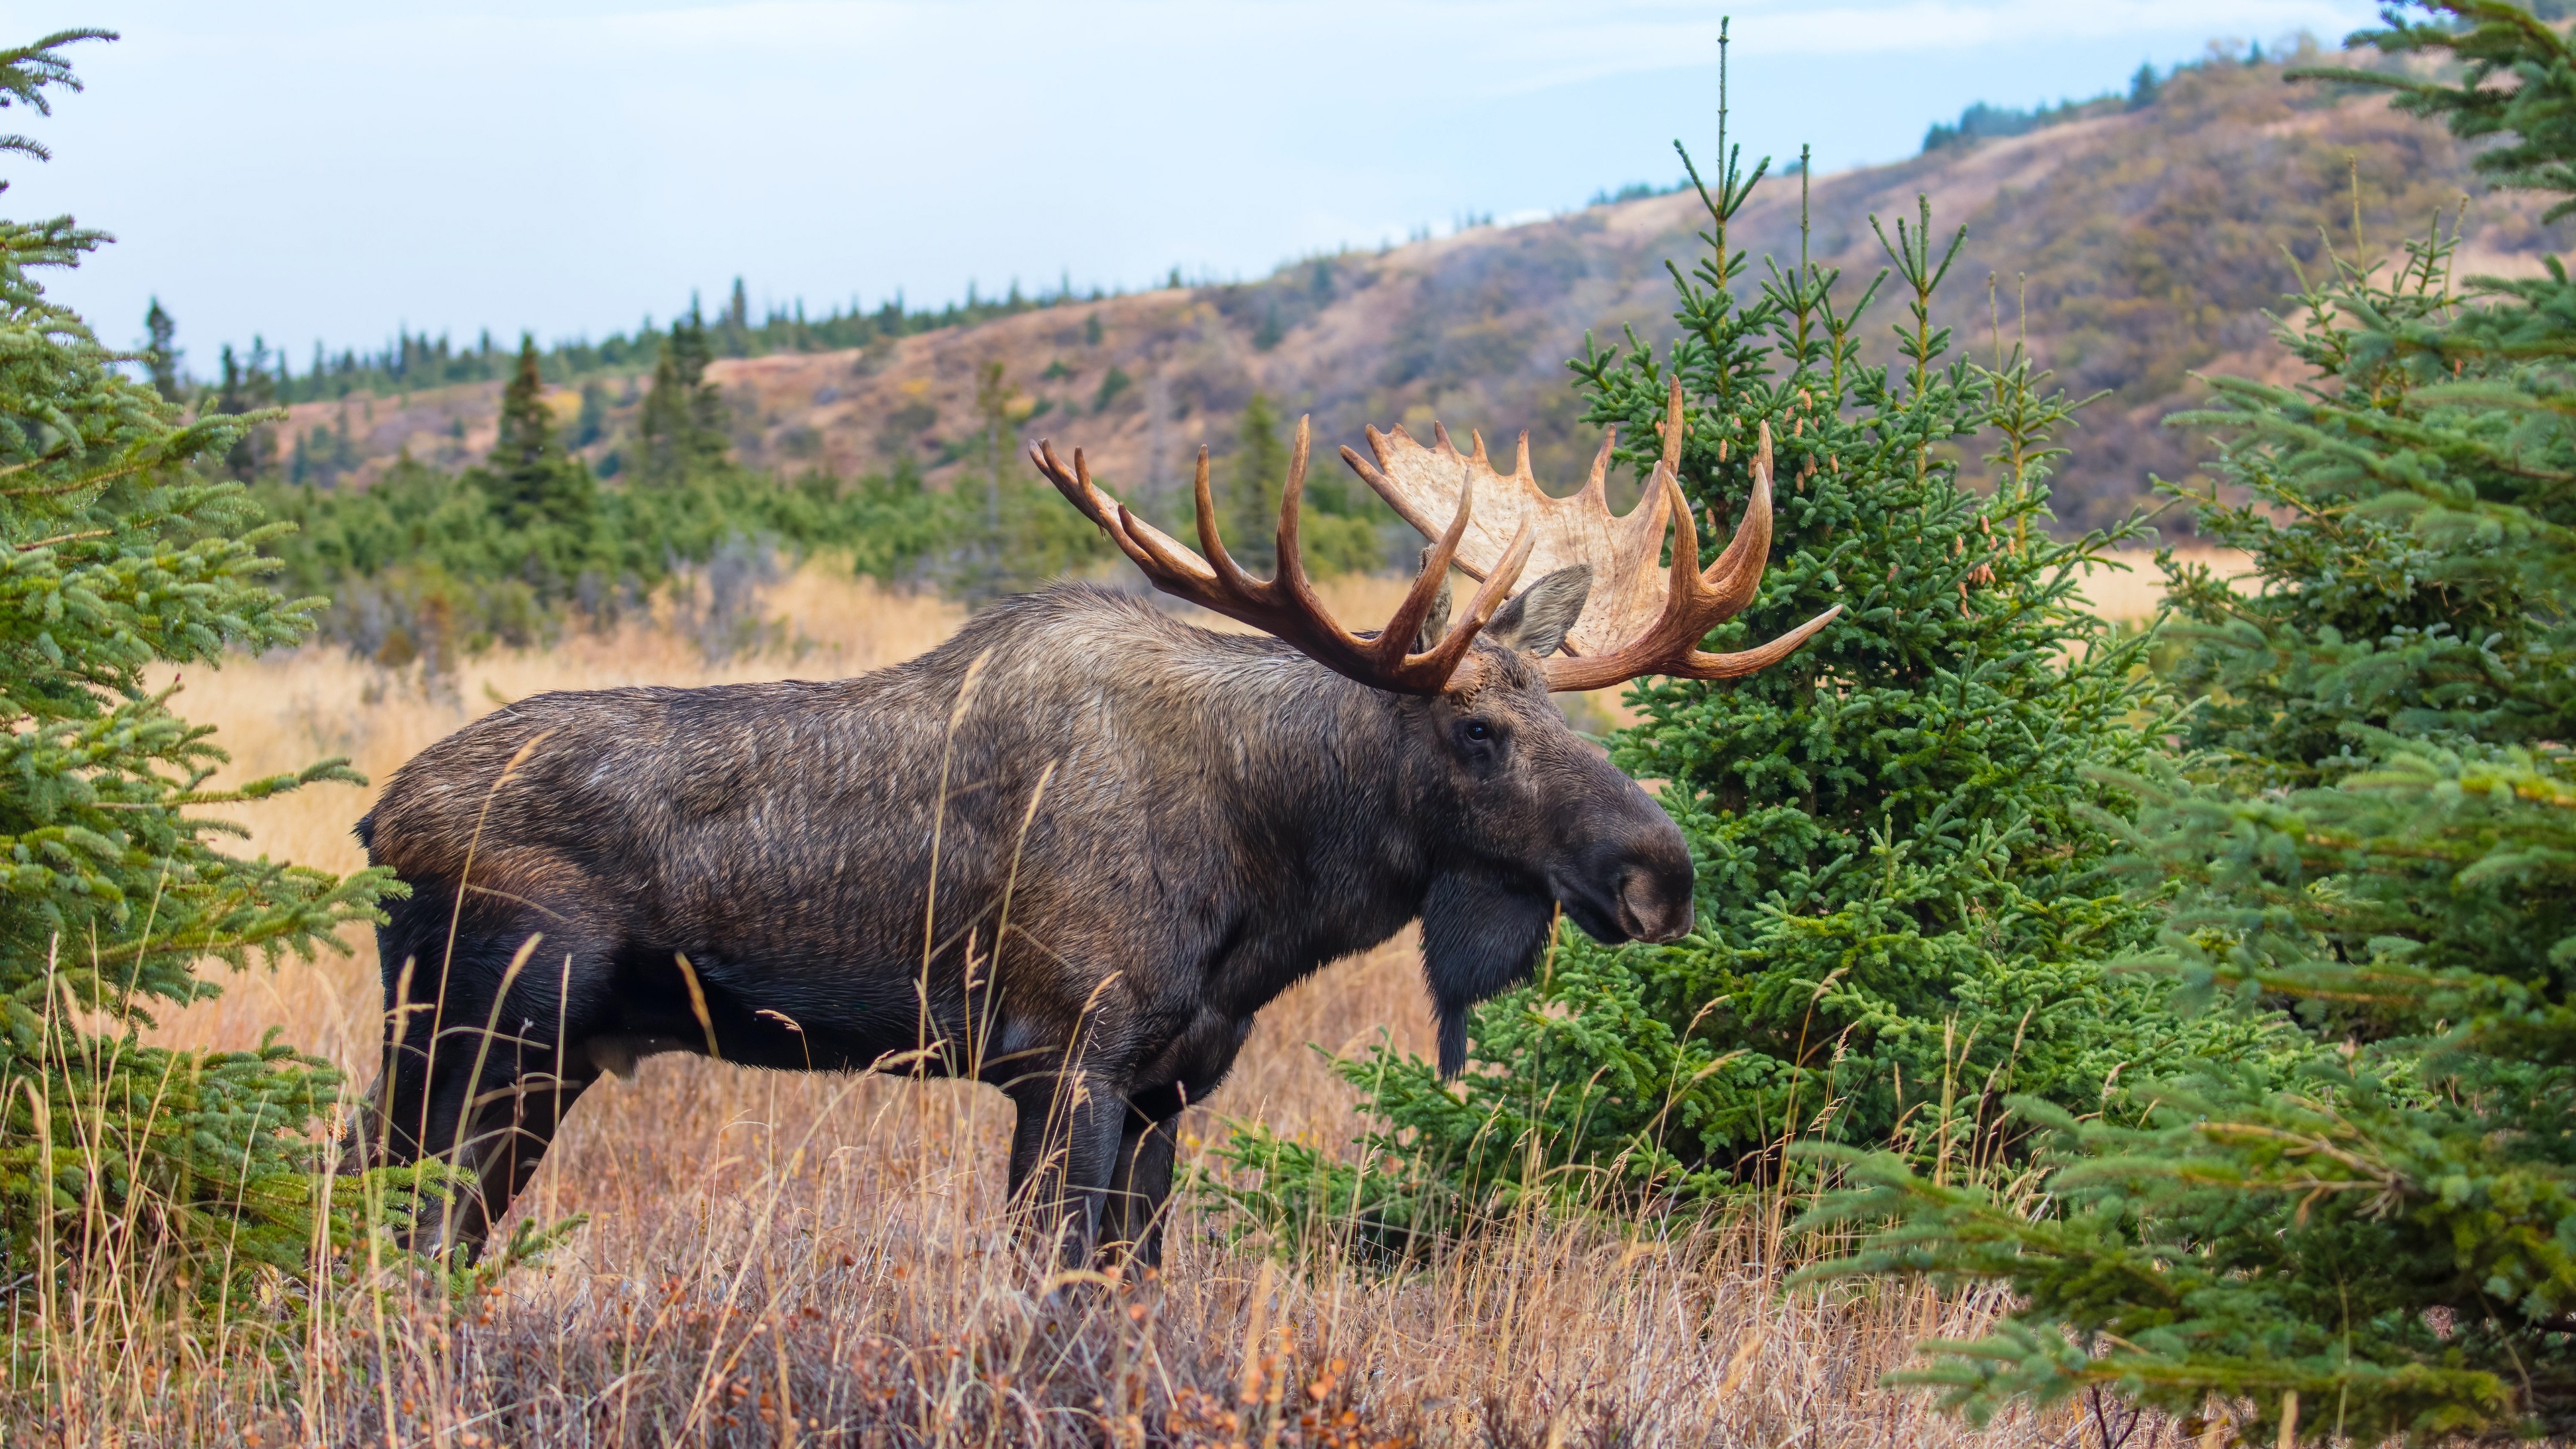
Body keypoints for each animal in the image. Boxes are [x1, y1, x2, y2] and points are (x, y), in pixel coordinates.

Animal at [353, 378, 1834, 1258]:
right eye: (1477, 732)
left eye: (1578, 718)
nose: (1661, 876)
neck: (1269, 885)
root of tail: (373, 827)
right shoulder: (1062, 1055)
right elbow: (1051, 1284)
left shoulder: (1175, 1080)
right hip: (471, 1032)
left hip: (541, 1063)